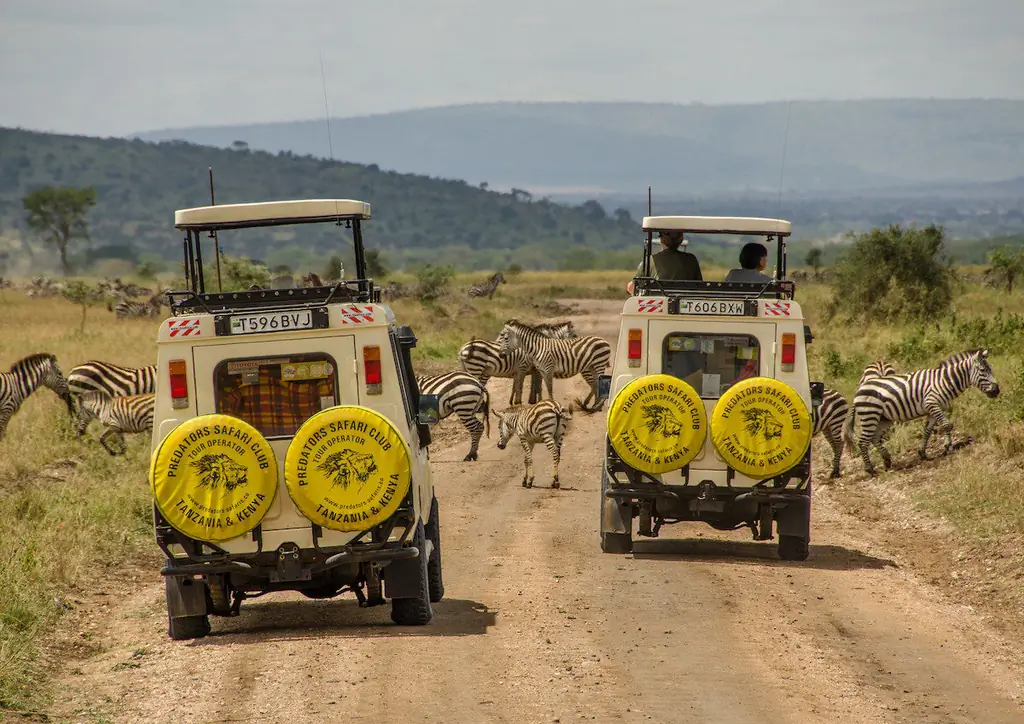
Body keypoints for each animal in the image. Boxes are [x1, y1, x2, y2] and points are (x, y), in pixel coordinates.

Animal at [847, 350, 999, 475]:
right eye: (983, 370)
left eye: (990, 369)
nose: (997, 391)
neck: (944, 381)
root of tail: (858, 391)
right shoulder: (932, 403)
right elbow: (947, 425)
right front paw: (948, 447)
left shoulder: (933, 410)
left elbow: (927, 431)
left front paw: (922, 453)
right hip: (870, 415)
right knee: (863, 441)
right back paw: (870, 469)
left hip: (883, 418)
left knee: (875, 437)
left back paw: (887, 460)